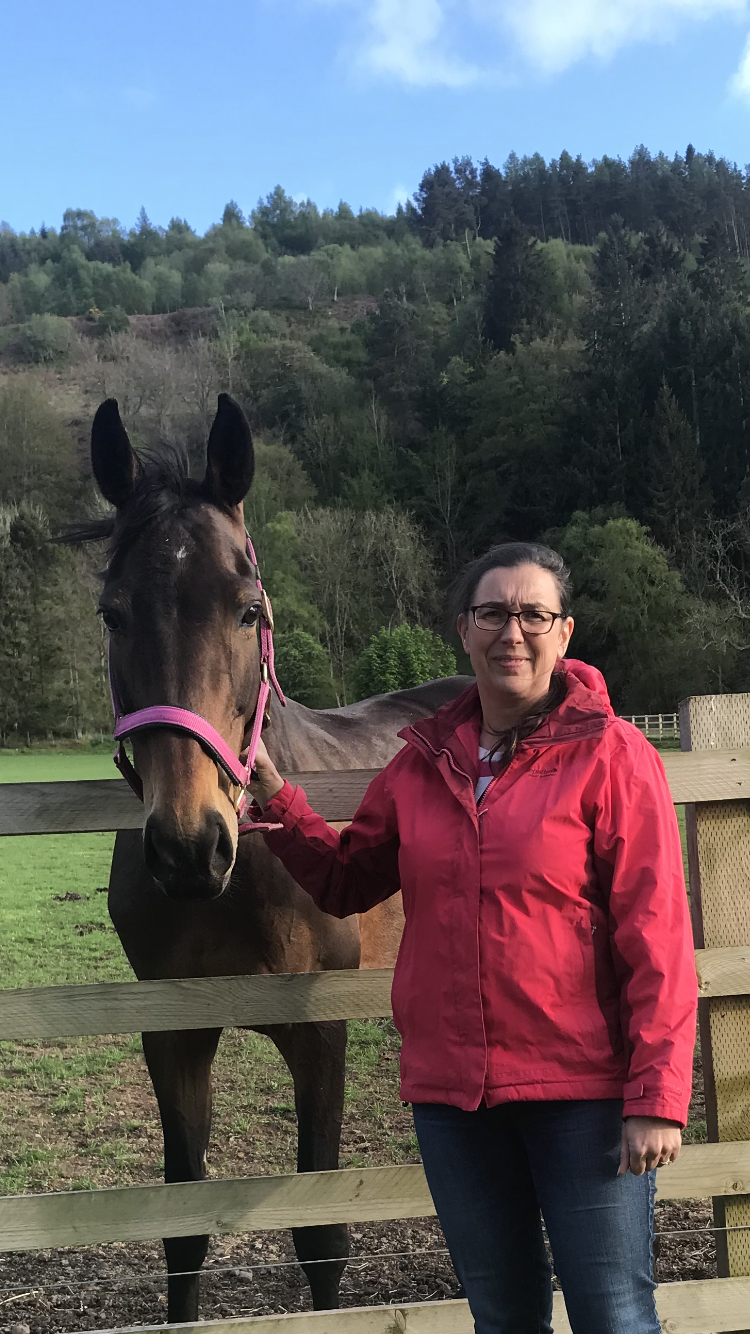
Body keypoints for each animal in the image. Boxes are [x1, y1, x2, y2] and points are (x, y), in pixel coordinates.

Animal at [73, 393, 471, 1325]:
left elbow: (321, 1235)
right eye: (114, 613)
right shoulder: (172, 1037)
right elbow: (182, 1233)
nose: (189, 845)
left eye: (248, 608)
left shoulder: (318, 1034)